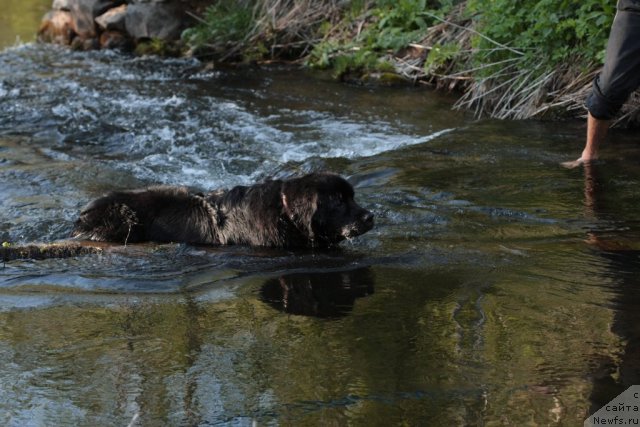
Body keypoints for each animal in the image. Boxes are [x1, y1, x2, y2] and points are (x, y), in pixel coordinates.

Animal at [73, 173, 376, 249]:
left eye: (352, 197)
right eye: (337, 201)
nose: (370, 216)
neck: (285, 213)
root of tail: (81, 215)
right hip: (122, 218)